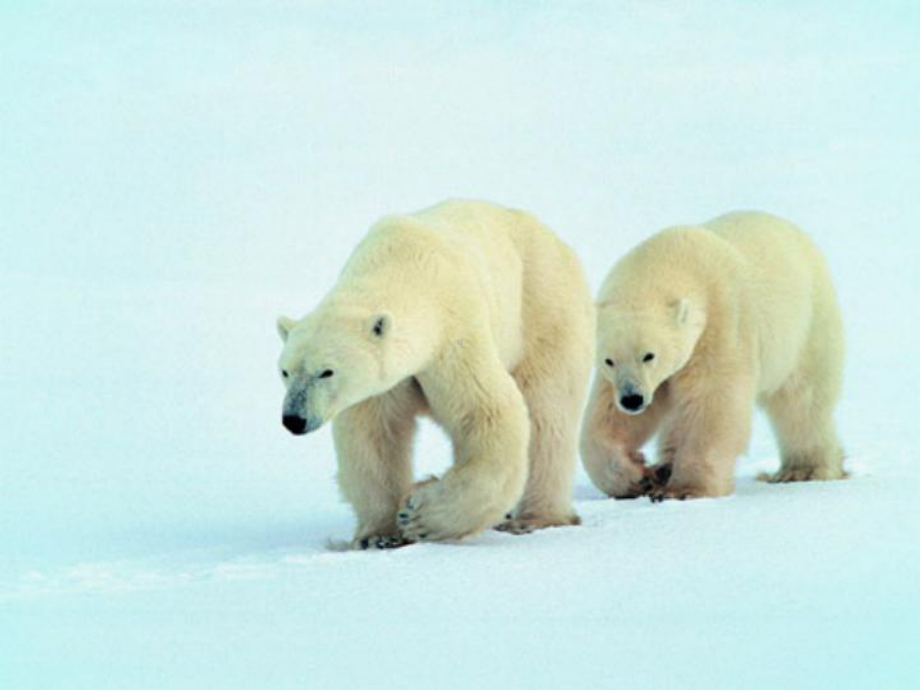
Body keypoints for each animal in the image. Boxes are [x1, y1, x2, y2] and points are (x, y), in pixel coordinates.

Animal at [276, 198, 596, 544]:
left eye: (326, 371)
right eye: (285, 372)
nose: (294, 419)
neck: (404, 265)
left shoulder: (454, 337)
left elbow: (486, 414)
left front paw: (419, 514)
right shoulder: (389, 379)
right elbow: (374, 435)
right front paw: (380, 536)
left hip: (544, 312)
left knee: (548, 413)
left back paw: (535, 518)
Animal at [584, 210, 848, 500]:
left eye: (649, 355)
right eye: (609, 360)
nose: (632, 399)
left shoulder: (722, 322)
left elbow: (712, 401)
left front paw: (685, 489)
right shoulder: (624, 378)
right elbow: (609, 417)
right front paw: (639, 477)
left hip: (806, 328)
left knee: (802, 401)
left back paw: (803, 470)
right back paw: (665, 465)